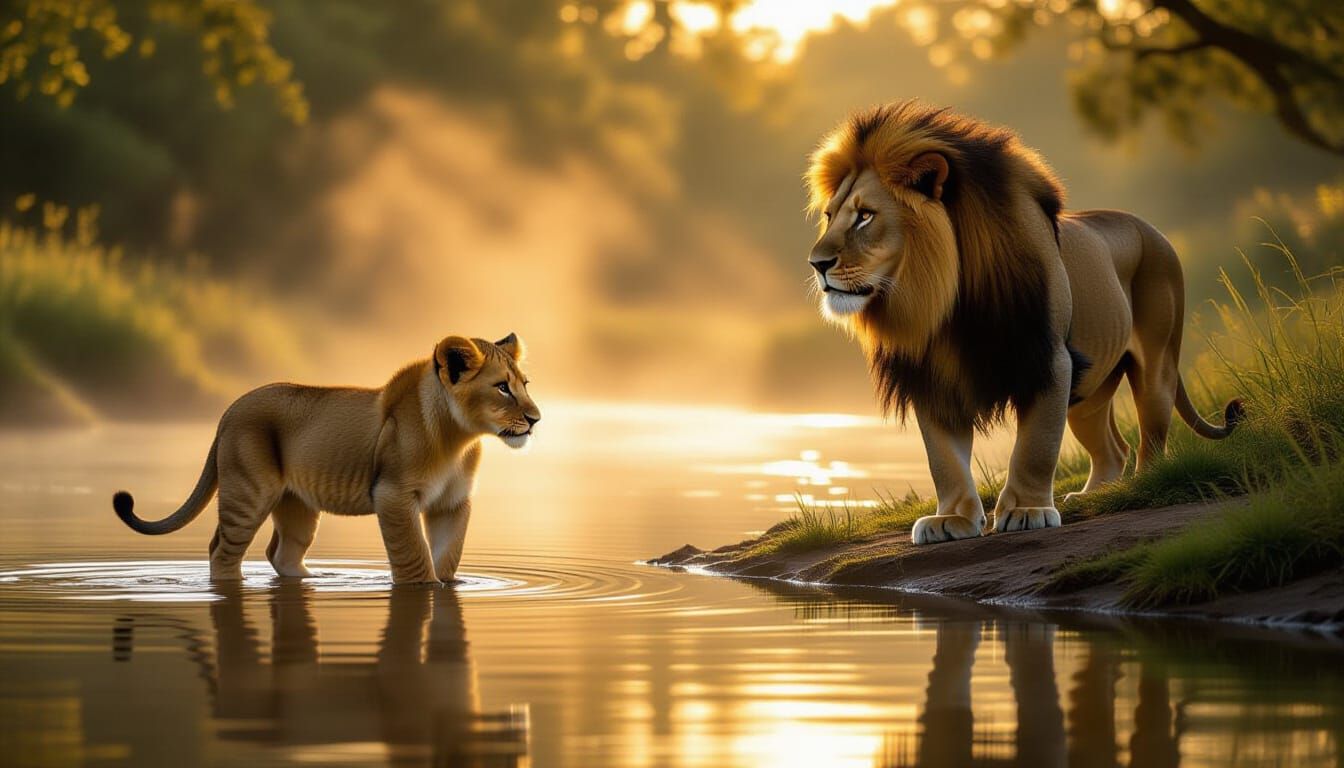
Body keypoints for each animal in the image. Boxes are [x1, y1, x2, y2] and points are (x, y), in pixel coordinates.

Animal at [112, 334, 541, 583]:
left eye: (524, 384)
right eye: (502, 388)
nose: (536, 419)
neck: (459, 437)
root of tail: (228, 410)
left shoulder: (452, 503)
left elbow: (447, 557)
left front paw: (451, 584)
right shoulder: (393, 494)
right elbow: (415, 559)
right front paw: (427, 586)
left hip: (296, 504)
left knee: (282, 552)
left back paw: (313, 579)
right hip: (247, 494)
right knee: (221, 551)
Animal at [805, 102, 1242, 545]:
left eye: (865, 216)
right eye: (829, 216)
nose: (816, 264)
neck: (945, 304)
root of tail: (1153, 230)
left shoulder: (1050, 360)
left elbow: (1036, 446)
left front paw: (1026, 511)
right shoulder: (931, 375)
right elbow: (943, 459)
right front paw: (952, 519)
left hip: (1154, 364)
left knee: (1151, 437)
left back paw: (1141, 486)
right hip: (1089, 390)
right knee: (1111, 449)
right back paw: (1094, 496)